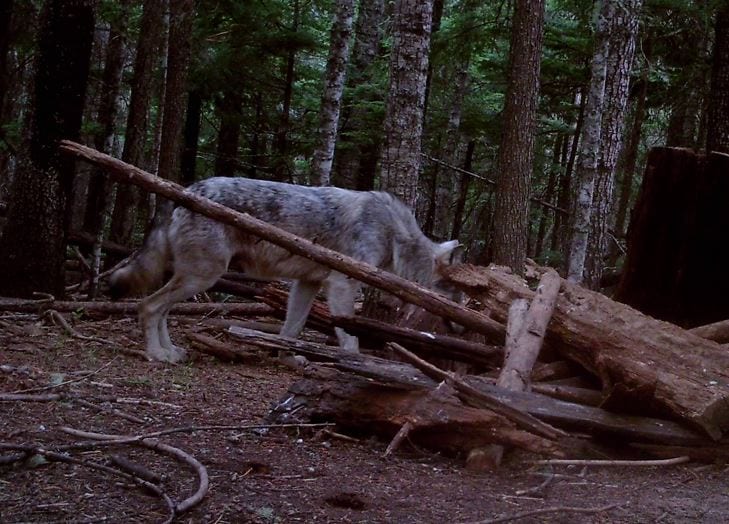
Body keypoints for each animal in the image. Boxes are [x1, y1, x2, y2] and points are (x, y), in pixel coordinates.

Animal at [109, 177, 462, 364]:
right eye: (458, 298)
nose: (463, 326)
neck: (394, 234)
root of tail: (187, 190)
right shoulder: (342, 285)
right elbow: (349, 337)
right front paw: (356, 365)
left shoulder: (306, 284)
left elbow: (291, 329)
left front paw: (287, 357)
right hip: (203, 277)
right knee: (148, 306)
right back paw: (156, 354)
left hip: (193, 278)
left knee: (162, 310)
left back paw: (170, 351)